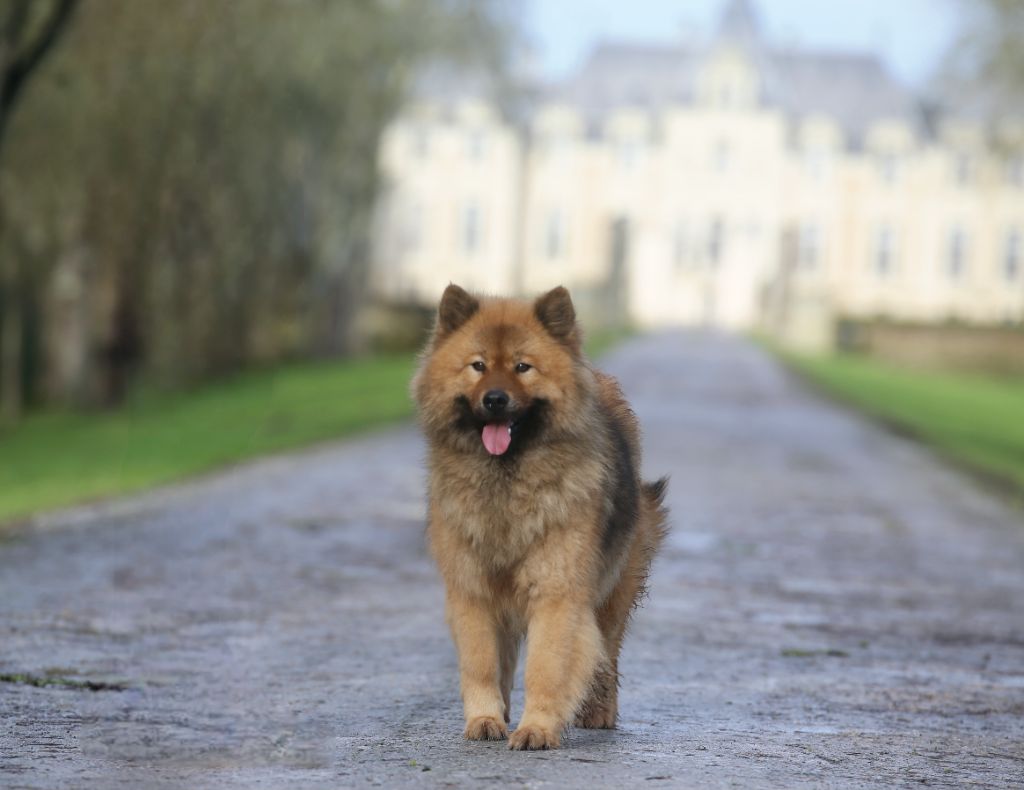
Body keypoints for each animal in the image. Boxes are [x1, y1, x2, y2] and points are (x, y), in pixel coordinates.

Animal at [411, 284, 667, 754]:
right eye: (478, 366)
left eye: (522, 367)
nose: (495, 399)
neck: (506, 483)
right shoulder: (472, 589)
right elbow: (482, 663)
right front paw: (486, 718)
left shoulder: (557, 590)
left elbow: (547, 666)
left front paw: (538, 729)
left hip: (613, 589)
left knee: (607, 653)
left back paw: (598, 712)